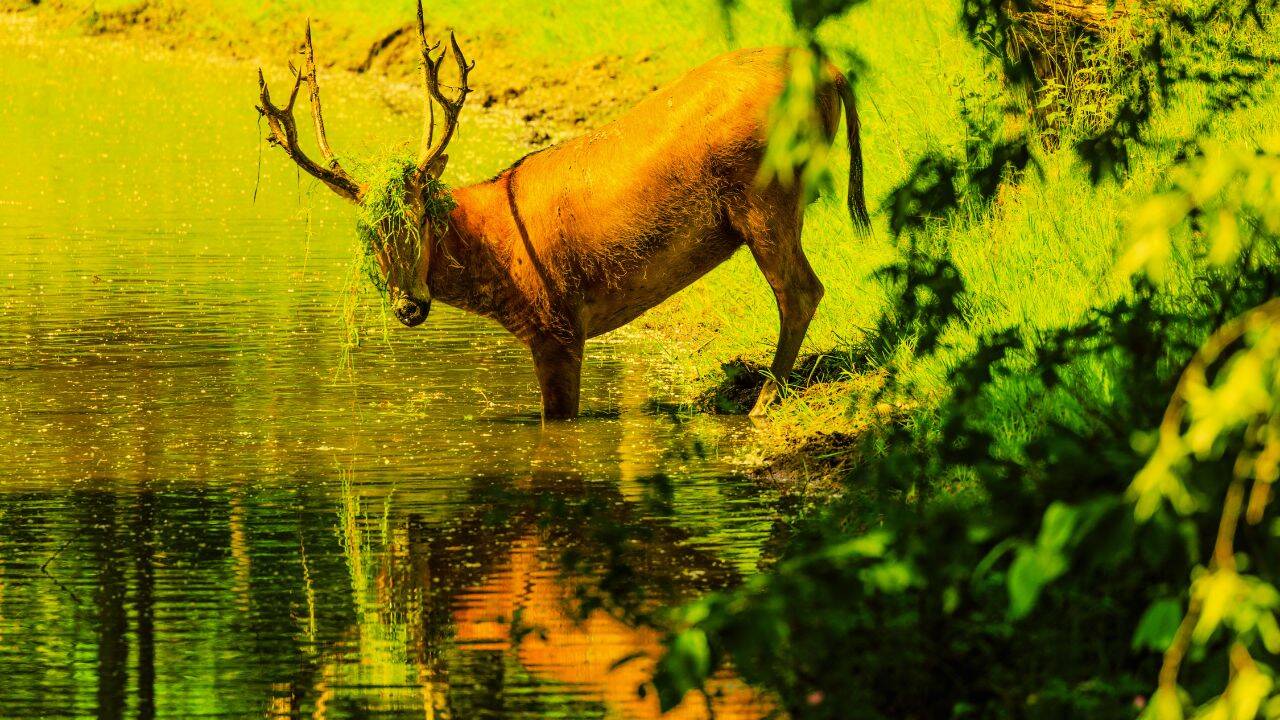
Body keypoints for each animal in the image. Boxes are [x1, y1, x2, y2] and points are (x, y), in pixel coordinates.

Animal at [257, 1, 869, 420]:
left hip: (767, 194)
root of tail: (834, 73)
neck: (494, 249)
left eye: (421, 216)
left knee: (801, 290)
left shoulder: (558, 322)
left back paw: (765, 399)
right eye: (367, 234)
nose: (409, 305)